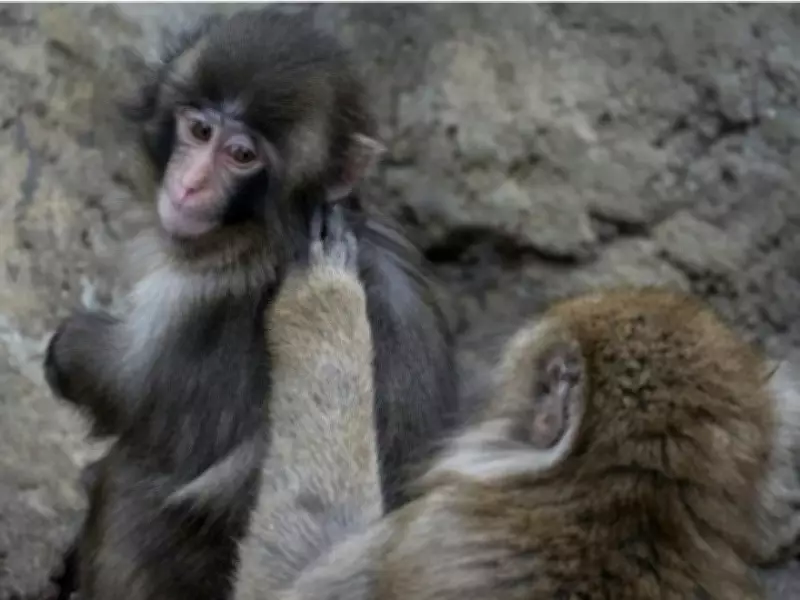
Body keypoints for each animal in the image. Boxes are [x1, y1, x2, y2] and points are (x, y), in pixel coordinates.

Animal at [44, 7, 457, 599]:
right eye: (200, 130)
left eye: (242, 155)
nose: (190, 185)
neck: (271, 228)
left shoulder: (204, 295)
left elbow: (124, 390)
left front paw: (70, 347)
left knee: (129, 481)